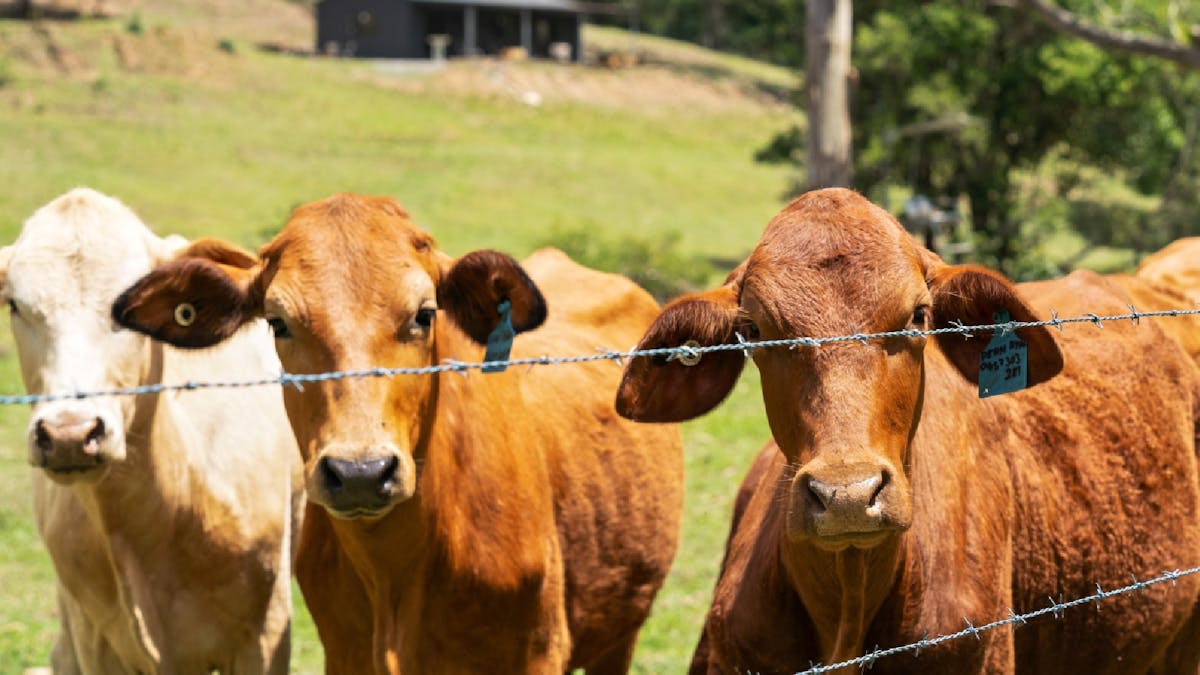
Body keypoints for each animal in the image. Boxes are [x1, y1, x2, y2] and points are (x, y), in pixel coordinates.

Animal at [109, 192, 685, 674]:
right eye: (277, 322)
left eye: (424, 314)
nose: (360, 472)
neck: (395, 574)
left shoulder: (537, 654)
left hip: (620, 631)